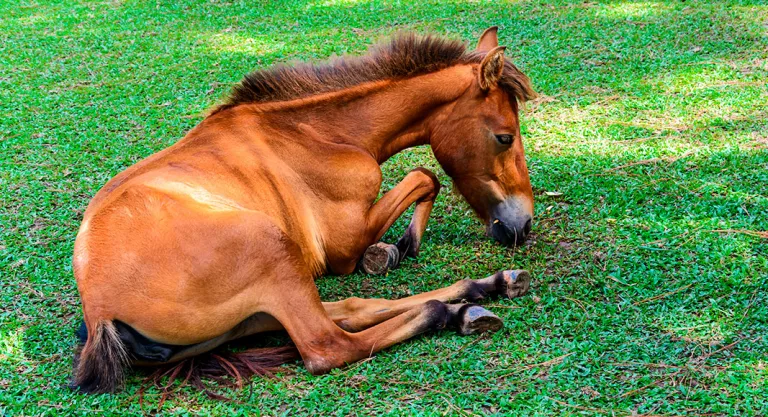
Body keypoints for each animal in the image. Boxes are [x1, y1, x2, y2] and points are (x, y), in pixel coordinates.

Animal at [73, 27, 536, 392]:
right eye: (505, 137)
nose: (523, 224)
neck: (312, 133)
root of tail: (99, 315)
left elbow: (425, 179)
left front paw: (394, 249)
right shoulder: (344, 245)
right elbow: (425, 176)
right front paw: (401, 245)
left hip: (264, 306)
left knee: (351, 309)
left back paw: (483, 290)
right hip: (272, 250)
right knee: (330, 345)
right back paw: (451, 309)